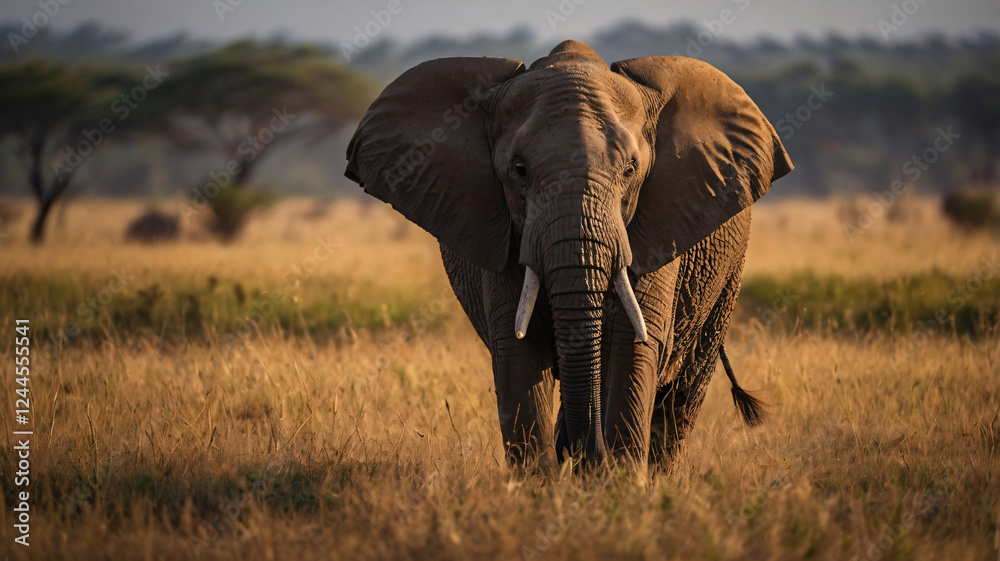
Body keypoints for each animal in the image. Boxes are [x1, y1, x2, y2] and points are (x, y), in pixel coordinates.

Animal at [345, 40, 792, 474]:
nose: (586, 455)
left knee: (684, 388)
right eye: (519, 170)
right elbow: (519, 348)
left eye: (630, 170)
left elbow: (633, 342)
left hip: (727, 278)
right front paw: (539, 487)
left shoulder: (655, 226)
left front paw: (620, 485)